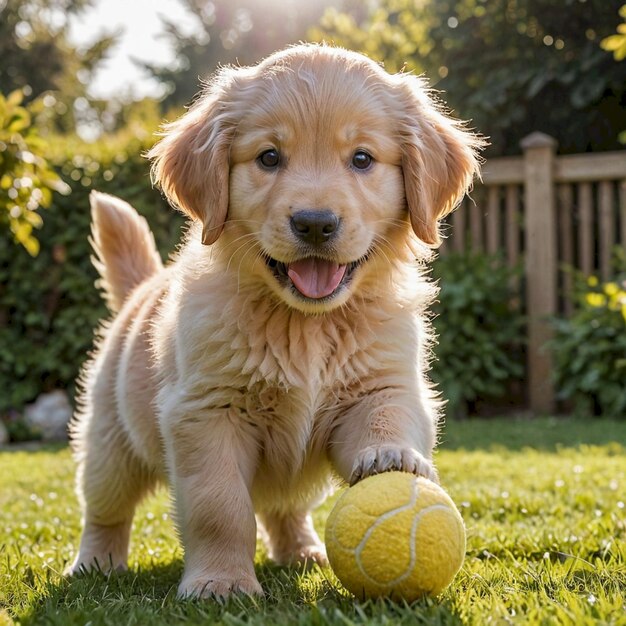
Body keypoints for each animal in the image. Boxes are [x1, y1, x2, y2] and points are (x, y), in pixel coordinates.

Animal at [68, 41, 480, 596]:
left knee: (285, 507)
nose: (315, 223)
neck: (305, 323)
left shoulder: (384, 384)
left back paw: (302, 551)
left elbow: (386, 419)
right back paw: (95, 563)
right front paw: (220, 583)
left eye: (362, 159)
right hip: (110, 444)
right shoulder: (206, 412)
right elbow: (219, 506)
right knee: (105, 509)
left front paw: (391, 457)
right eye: (268, 157)